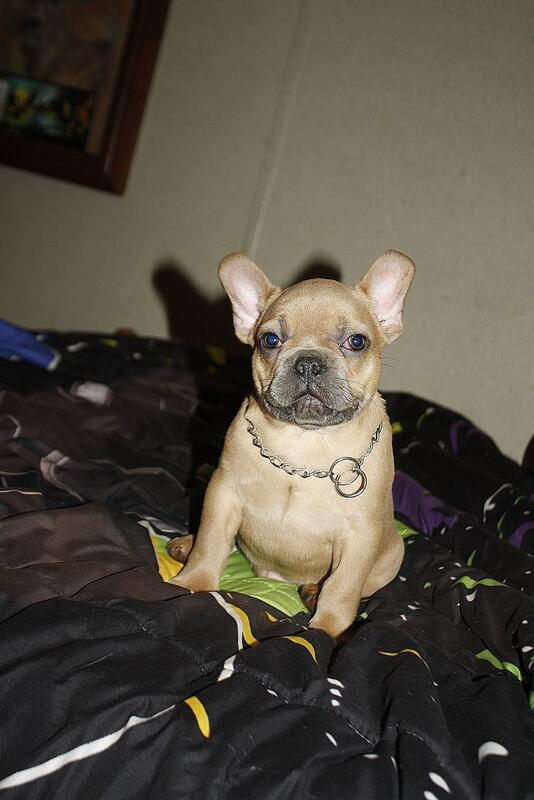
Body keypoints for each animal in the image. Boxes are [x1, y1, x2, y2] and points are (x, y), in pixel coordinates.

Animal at [168, 250, 415, 639]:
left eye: (357, 342)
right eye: (270, 340)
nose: (308, 362)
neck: (305, 443)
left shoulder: (361, 535)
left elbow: (343, 587)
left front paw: (329, 630)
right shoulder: (223, 493)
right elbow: (211, 541)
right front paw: (192, 583)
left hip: (393, 553)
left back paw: (313, 592)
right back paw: (185, 544)